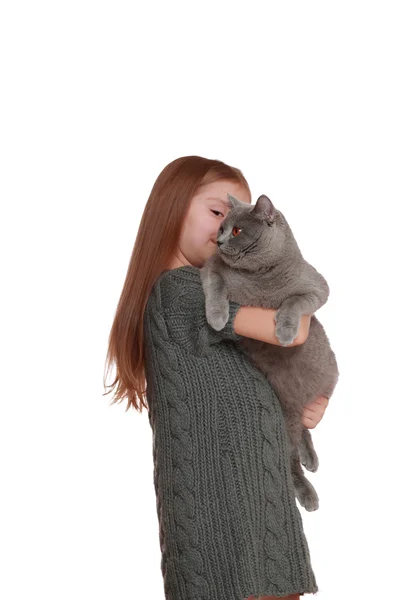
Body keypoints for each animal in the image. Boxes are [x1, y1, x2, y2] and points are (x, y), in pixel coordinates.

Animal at [198, 195, 340, 512]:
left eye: (237, 231)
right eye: (222, 227)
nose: (218, 241)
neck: (261, 278)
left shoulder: (317, 288)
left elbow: (293, 302)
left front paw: (285, 332)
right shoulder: (210, 268)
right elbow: (217, 283)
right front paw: (217, 318)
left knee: (299, 438)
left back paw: (309, 464)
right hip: (284, 413)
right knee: (292, 453)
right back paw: (307, 484)